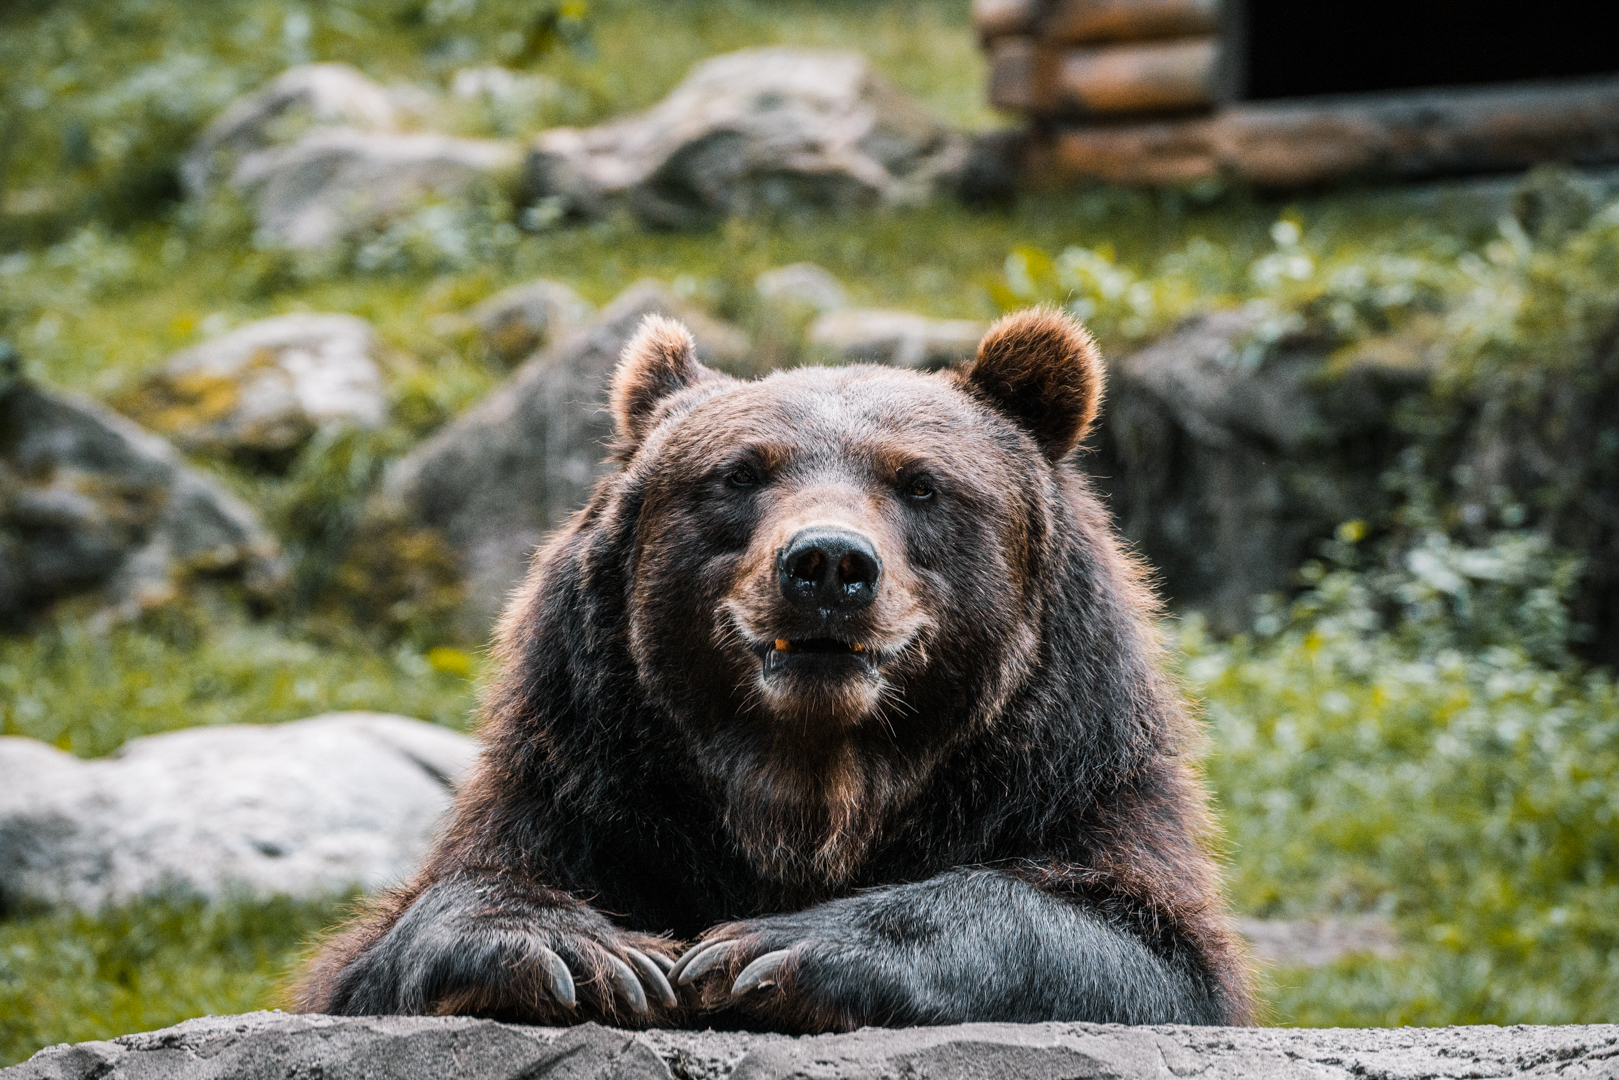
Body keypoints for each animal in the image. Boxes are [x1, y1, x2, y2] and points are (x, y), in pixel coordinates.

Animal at [294, 307, 1255, 1030]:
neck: (808, 789)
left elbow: (1137, 948)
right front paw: (590, 953)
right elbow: (382, 953)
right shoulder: (583, 799)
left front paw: (766, 950)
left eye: (920, 483)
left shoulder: (1070, 783)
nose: (828, 565)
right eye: (738, 474)